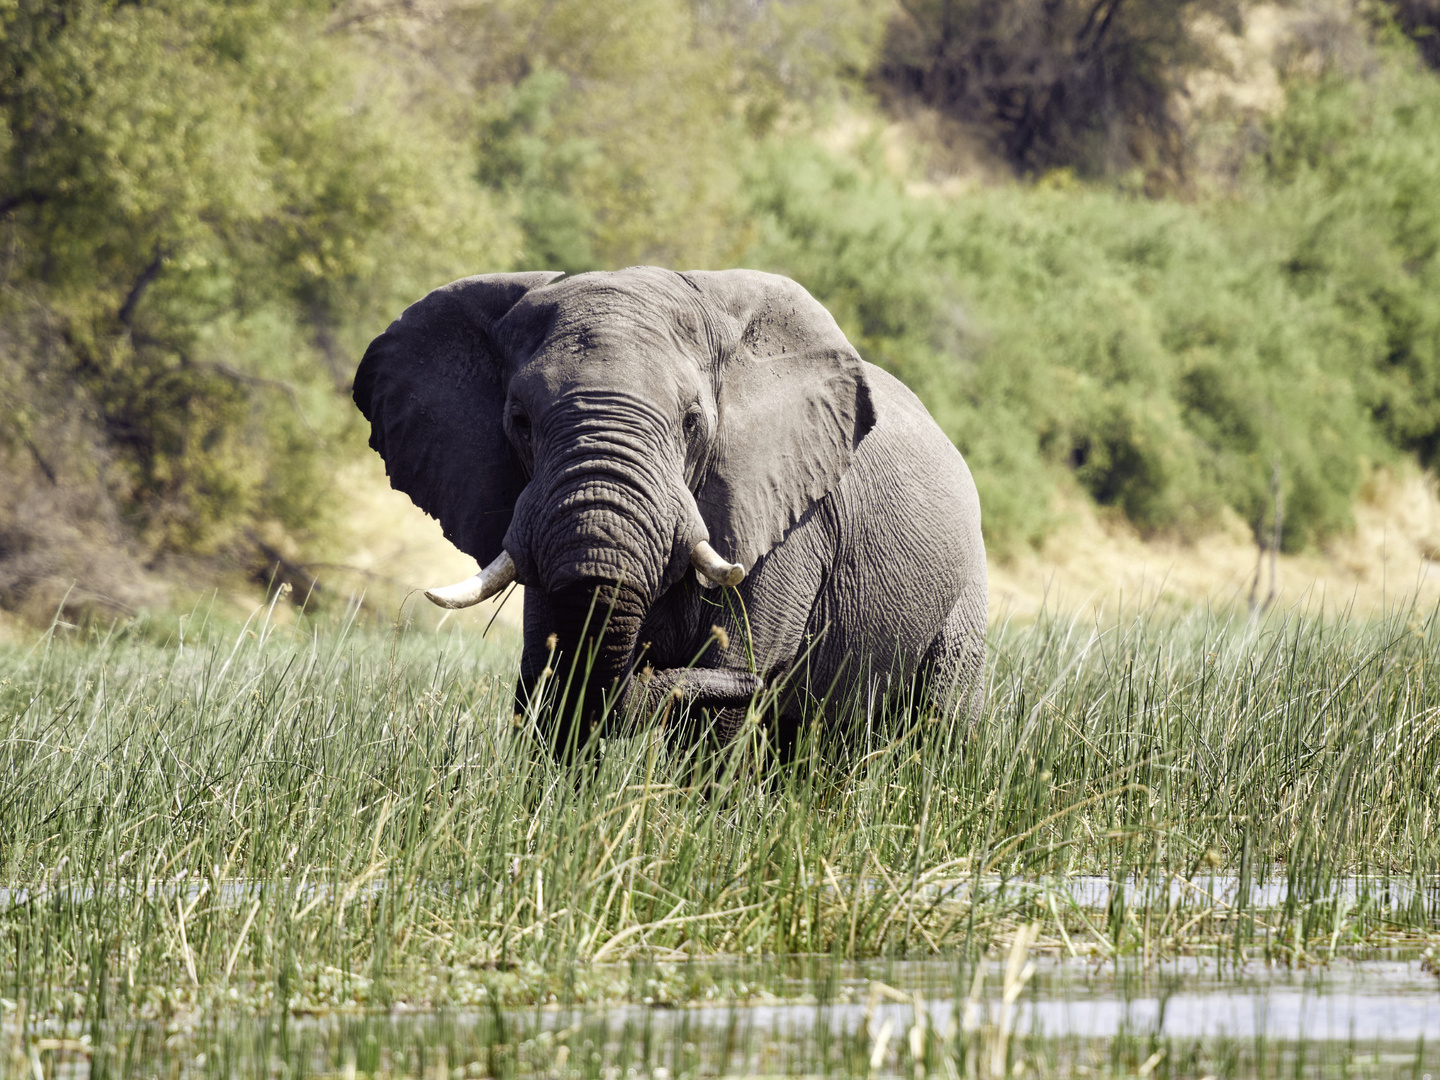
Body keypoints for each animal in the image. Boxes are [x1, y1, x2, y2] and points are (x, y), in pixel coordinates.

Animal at [357, 269, 990, 760]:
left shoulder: (790, 527)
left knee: (939, 724)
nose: (759, 677)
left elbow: (715, 720)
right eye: (519, 421)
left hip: (964, 599)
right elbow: (560, 684)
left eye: (691, 421)